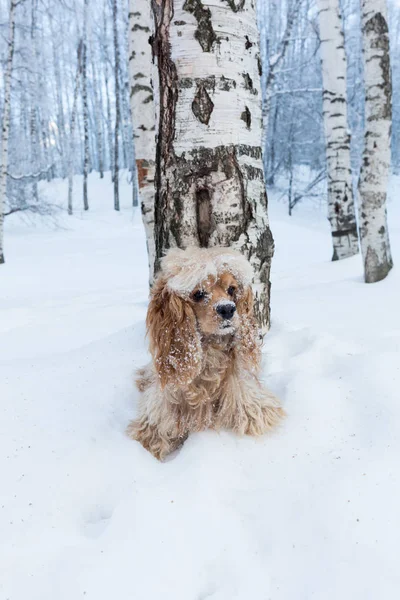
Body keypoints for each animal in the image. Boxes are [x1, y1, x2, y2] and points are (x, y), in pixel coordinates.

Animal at [128, 245, 284, 460]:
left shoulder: (252, 405)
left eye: (231, 289)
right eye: (199, 293)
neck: (210, 353)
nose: (228, 309)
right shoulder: (159, 417)